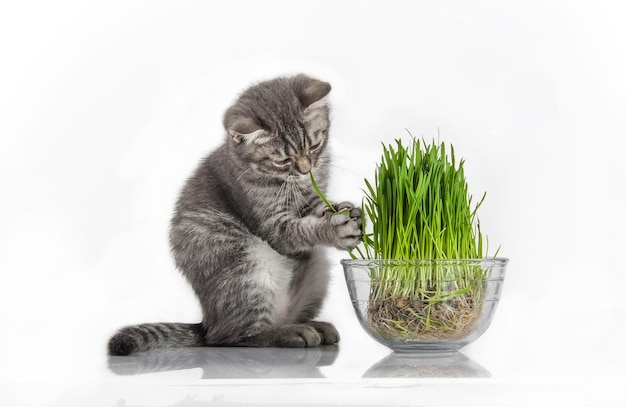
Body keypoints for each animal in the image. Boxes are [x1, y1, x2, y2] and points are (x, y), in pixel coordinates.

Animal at [107, 75, 360, 356]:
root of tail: (207, 322)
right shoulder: (270, 223)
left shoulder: (310, 195)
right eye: (282, 161)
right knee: (233, 335)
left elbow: (317, 205)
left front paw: (343, 209)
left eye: (315, 145)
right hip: (243, 266)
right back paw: (291, 333)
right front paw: (335, 230)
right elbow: (297, 231)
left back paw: (315, 326)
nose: (307, 170)